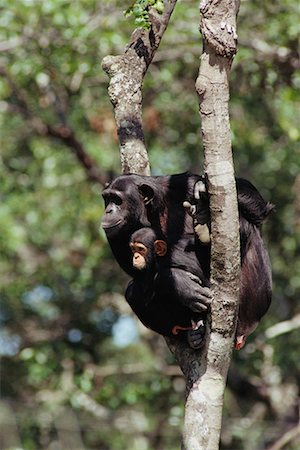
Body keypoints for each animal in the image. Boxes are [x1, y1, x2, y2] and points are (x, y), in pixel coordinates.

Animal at [102, 171, 274, 348]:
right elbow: (137, 272)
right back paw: (191, 335)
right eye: (106, 198)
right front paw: (181, 285)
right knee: (134, 291)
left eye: (117, 199)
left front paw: (203, 189)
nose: (108, 210)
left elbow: (258, 208)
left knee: (243, 223)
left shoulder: (185, 183)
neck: (151, 208)